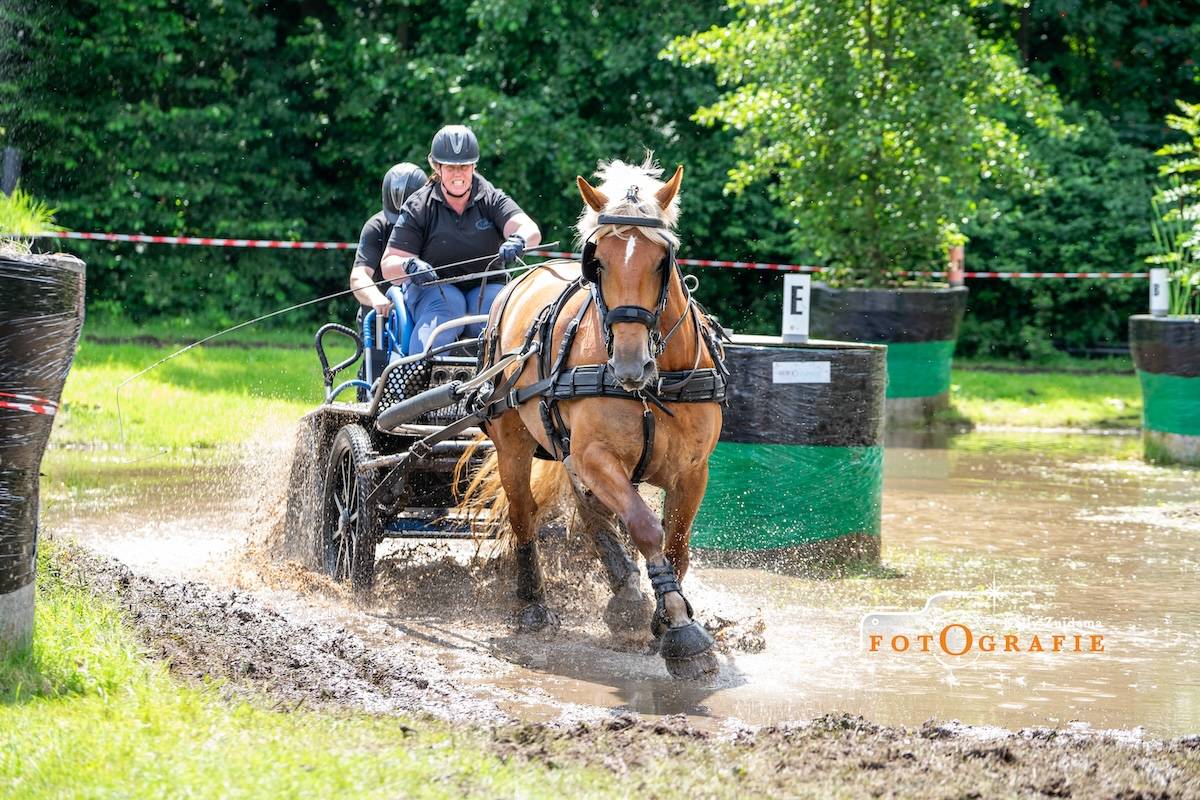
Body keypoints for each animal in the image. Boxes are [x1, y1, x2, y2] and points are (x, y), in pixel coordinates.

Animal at [458, 158, 728, 679]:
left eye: (663, 261)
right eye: (596, 262)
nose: (628, 364)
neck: (651, 386)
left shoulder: (694, 470)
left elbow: (676, 543)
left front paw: (663, 613)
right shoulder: (596, 455)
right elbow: (646, 527)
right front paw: (681, 631)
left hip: (565, 448)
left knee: (589, 513)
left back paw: (624, 589)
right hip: (515, 440)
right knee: (524, 515)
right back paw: (534, 605)